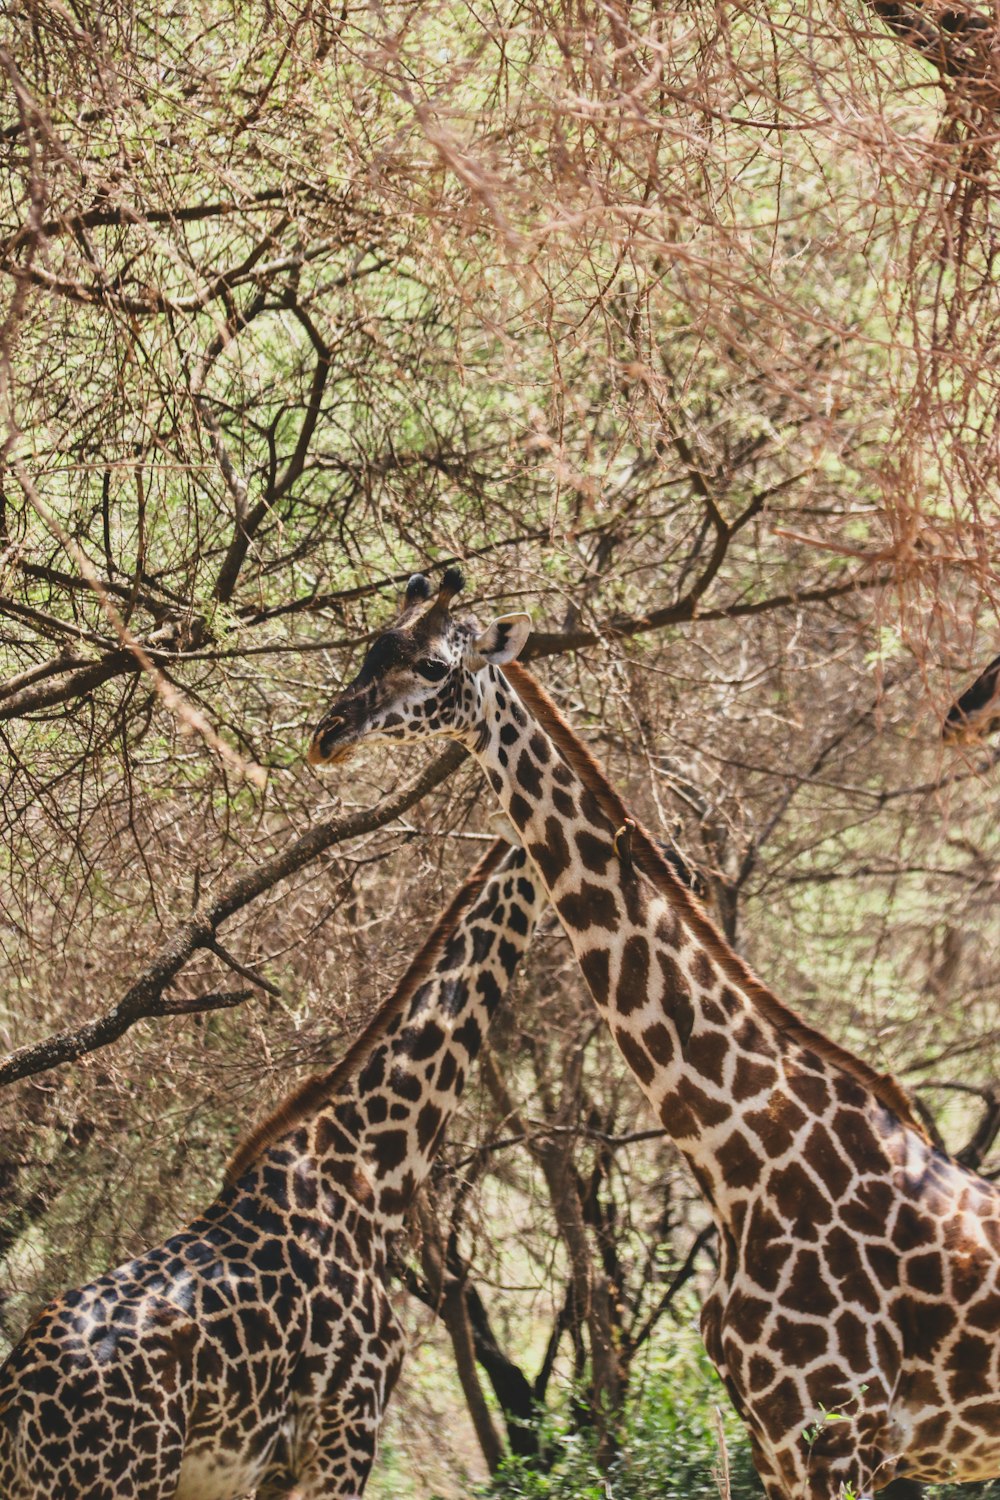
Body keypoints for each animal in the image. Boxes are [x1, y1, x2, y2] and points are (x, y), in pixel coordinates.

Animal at [307, 564, 1000, 1500]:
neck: (743, 1161)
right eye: (370, 645)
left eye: (431, 666)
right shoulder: (775, 1436)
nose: (328, 734)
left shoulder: (842, 1436)